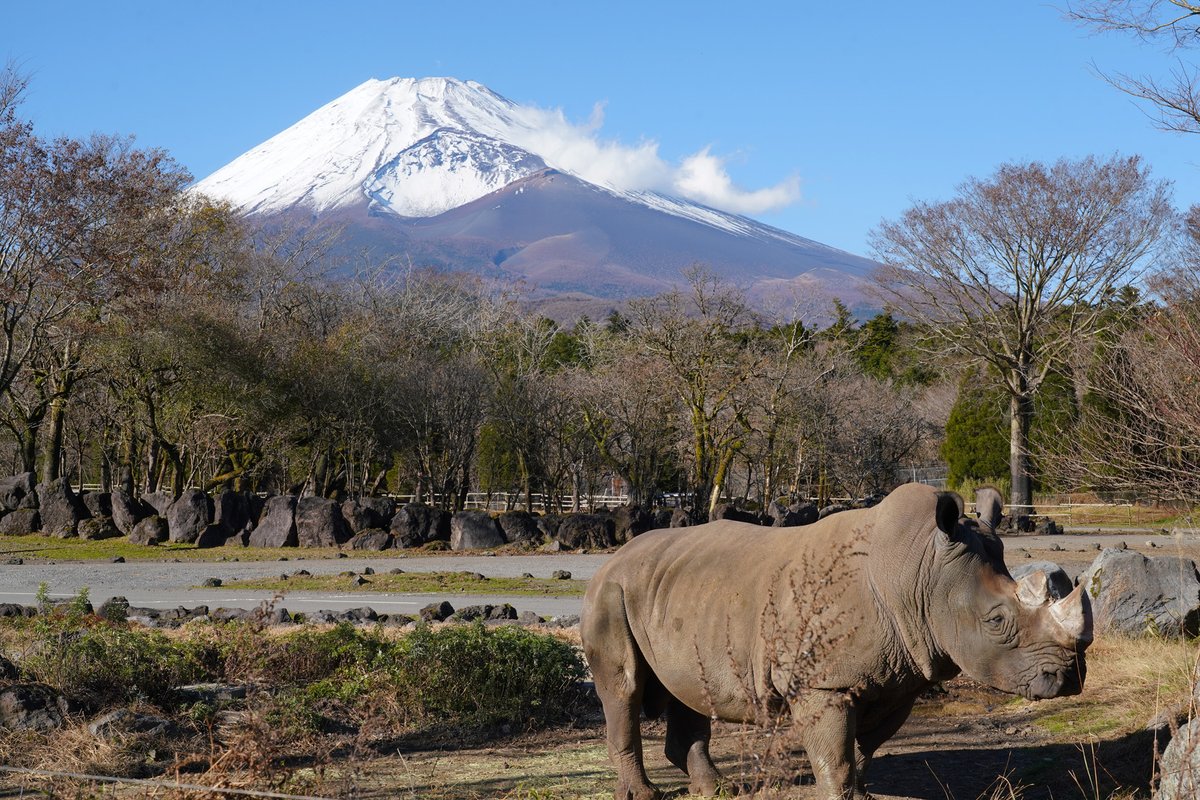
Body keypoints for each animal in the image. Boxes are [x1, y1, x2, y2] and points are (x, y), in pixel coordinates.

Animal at [576, 482, 1094, 800]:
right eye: (997, 620)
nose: (1069, 678)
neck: (921, 574)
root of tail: (611, 558)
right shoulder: (821, 683)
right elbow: (836, 749)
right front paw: (842, 794)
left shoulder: (899, 677)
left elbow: (861, 748)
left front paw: (861, 794)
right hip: (610, 592)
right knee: (624, 687)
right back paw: (645, 794)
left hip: (682, 592)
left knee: (688, 688)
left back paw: (718, 790)